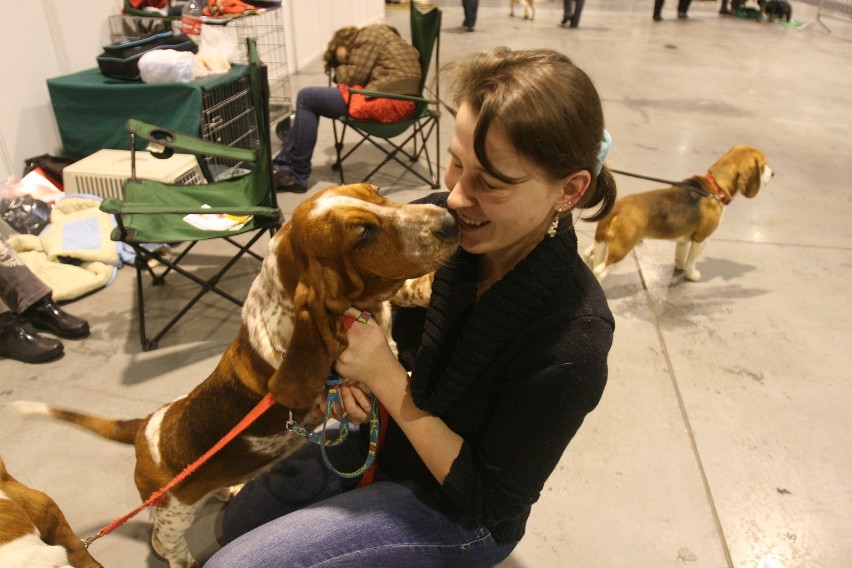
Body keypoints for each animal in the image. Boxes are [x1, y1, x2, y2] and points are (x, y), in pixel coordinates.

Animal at [10, 185, 460, 568]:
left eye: (378, 194)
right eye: (363, 233)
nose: (451, 219)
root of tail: (144, 428)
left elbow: (404, 294)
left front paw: (428, 287)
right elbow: (398, 377)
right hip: (174, 513)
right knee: (163, 542)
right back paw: (184, 558)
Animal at [584, 144, 772, 282]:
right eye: (763, 166)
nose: (774, 173)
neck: (716, 187)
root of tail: (617, 207)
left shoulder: (683, 240)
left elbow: (681, 256)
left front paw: (680, 267)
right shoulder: (701, 239)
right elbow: (691, 261)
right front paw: (691, 275)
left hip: (602, 241)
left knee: (589, 254)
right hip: (622, 251)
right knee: (600, 270)